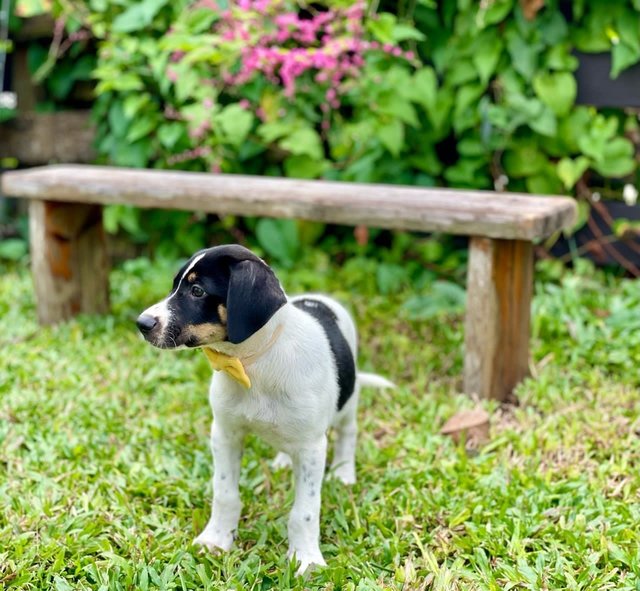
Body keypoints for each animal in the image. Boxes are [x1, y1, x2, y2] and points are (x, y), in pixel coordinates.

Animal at [138, 243, 392, 572]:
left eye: (197, 290)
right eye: (175, 286)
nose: (142, 323)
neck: (253, 364)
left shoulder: (312, 447)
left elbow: (305, 512)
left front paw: (306, 559)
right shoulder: (225, 433)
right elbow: (225, 494)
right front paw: (216, 539)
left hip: (348, 401)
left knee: (348, 432)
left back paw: (344, 472)